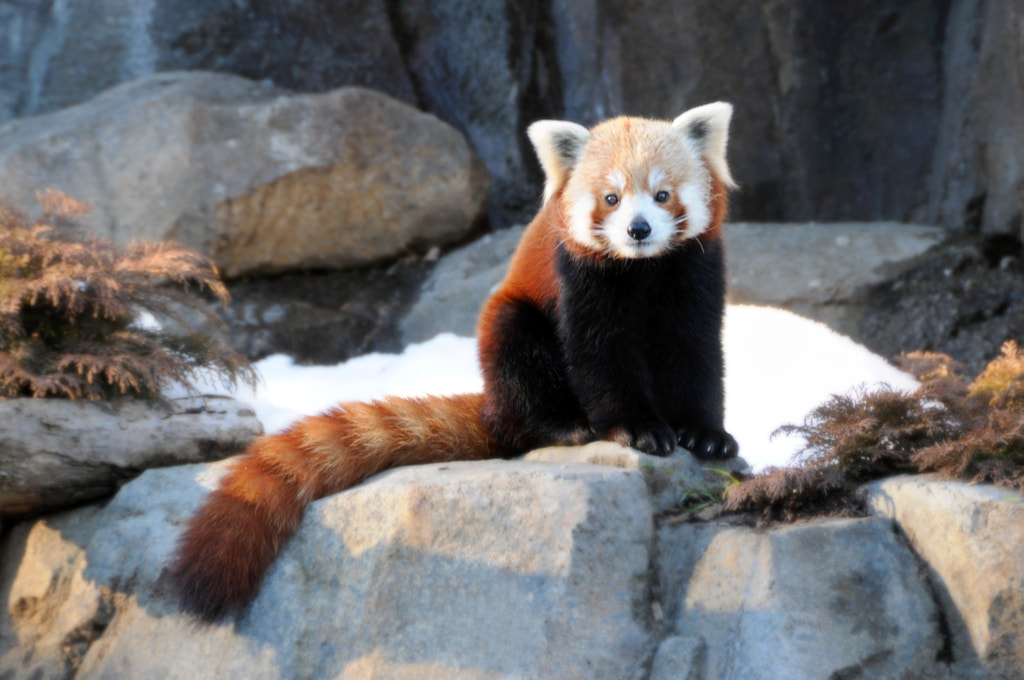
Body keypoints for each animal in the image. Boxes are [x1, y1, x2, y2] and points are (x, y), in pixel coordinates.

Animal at [167, 102, 737, 622]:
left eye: (662, 194)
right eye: (611, 198)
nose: (638, 229)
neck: (642, 270)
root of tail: (494, 410)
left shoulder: (695, 273)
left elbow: (698, 356)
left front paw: (705, 434)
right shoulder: (579, 278)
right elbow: (600, 357)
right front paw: (636, 428)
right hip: (511, 329)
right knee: (517, 353)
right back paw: (562, 426)